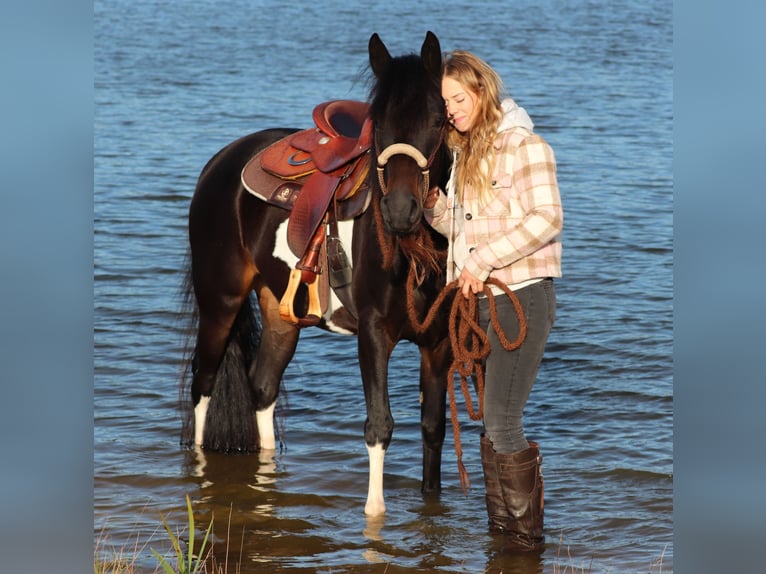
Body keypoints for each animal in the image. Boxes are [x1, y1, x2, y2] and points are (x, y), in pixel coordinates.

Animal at [182, 31, 452, 516]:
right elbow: (379, 427)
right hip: (220, 303)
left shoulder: (437, 344)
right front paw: (374, 517)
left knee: (262, 386)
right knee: (203, 385)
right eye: (377, 124)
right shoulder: (374, 334)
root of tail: (221, 161)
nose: (400, 210)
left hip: (281, 313)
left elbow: (432, 430)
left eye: (438, 119)